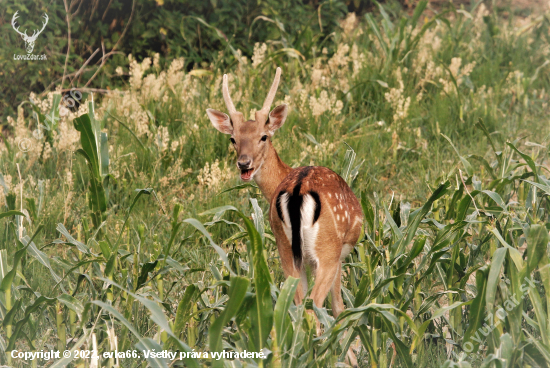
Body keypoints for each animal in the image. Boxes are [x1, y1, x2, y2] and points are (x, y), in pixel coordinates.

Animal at [206, 67, 362, 366]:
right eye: (233, 138)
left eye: (262, 136)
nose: (243, 163)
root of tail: (298, 189)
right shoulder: (338, 257)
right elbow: (339, 308)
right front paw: (351, 357)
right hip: (326, 250)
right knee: (315, 309)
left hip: (285, 249)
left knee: (296, 306)